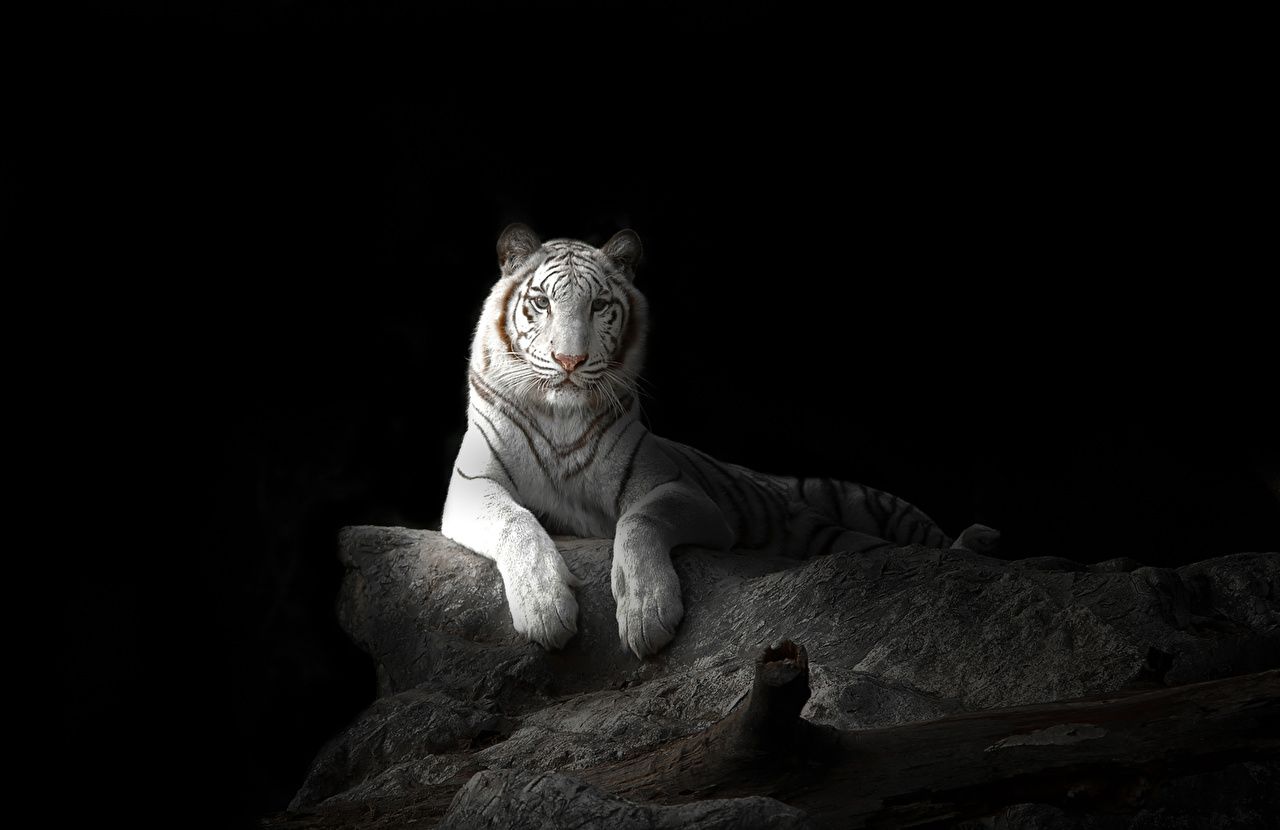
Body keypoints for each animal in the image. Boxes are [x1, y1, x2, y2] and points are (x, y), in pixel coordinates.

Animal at [441, 224, 999, 658]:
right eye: (540, 302)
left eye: (598, 305)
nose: (570, 361)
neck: (559, 415)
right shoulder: (470, 486)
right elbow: (516, 521)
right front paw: (545, 608)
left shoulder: (683, 492)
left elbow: (639, 520)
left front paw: (646, 612)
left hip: (875, 507)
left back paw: (977, 543)